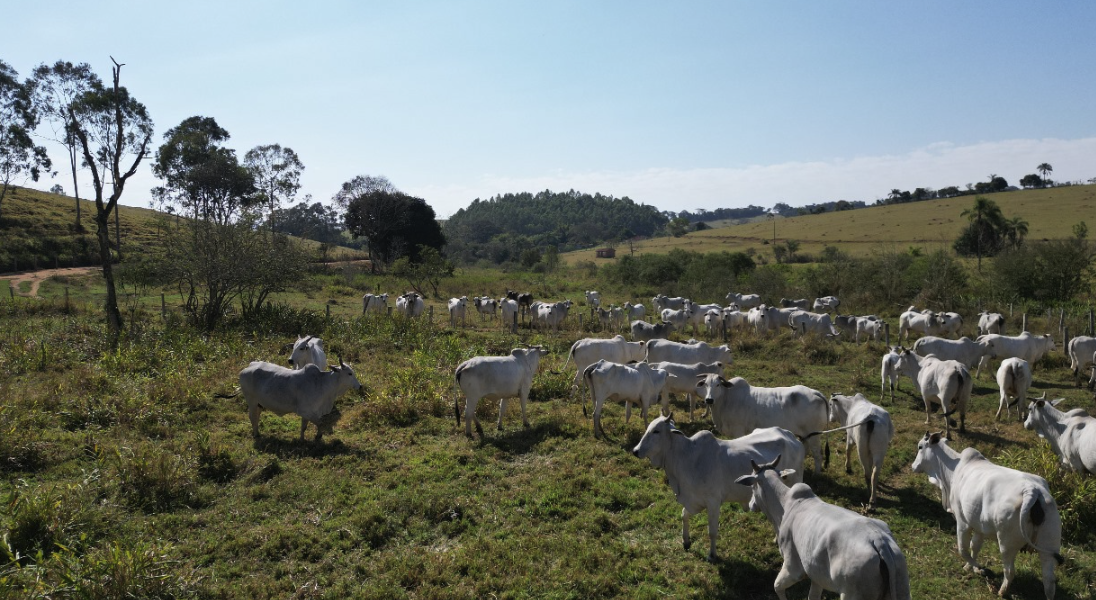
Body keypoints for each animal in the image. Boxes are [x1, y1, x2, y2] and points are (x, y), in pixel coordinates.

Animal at [224, 359, 361, 443]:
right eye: (349, 373)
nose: (359, 386)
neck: (321, 383)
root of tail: (247, 368)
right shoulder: (305, 411)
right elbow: (320, 422)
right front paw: (318, 436)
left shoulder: (309, 412)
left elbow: (304, 427)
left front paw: (302, 439)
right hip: (251, 402)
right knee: (252, 417)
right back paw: (256, 434)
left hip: (258, 404)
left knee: (256, 416)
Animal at [635, 419, 806, 561]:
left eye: (656, 431)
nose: (635, 450)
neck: (688, 457)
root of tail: (791, 437)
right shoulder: (693, 500)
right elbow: (684, 515)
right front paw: (686, 541)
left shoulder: (713, 502)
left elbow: (712, 531)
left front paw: (712, 555)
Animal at [736, 456, 916, 600]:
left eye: (752, 486)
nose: (751, 505)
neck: (785, 505)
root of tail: (879, 541)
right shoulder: (816, 575)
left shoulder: (793, 568)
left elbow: (777, 587)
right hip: (902, 587)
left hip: (852, 595)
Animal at [911, 432, 1065, 600]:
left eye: (920, 446)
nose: (913, 466)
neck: (951, 472)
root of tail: (1032, 491)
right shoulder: (979, 526)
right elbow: (975, 546)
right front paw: (969, 567)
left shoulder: (963, 522)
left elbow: (963, 549)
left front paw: (979, 568)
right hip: (1049, 543)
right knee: (1049, 579)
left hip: (1006, 543)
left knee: (1009, 571)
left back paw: (1001, 591)